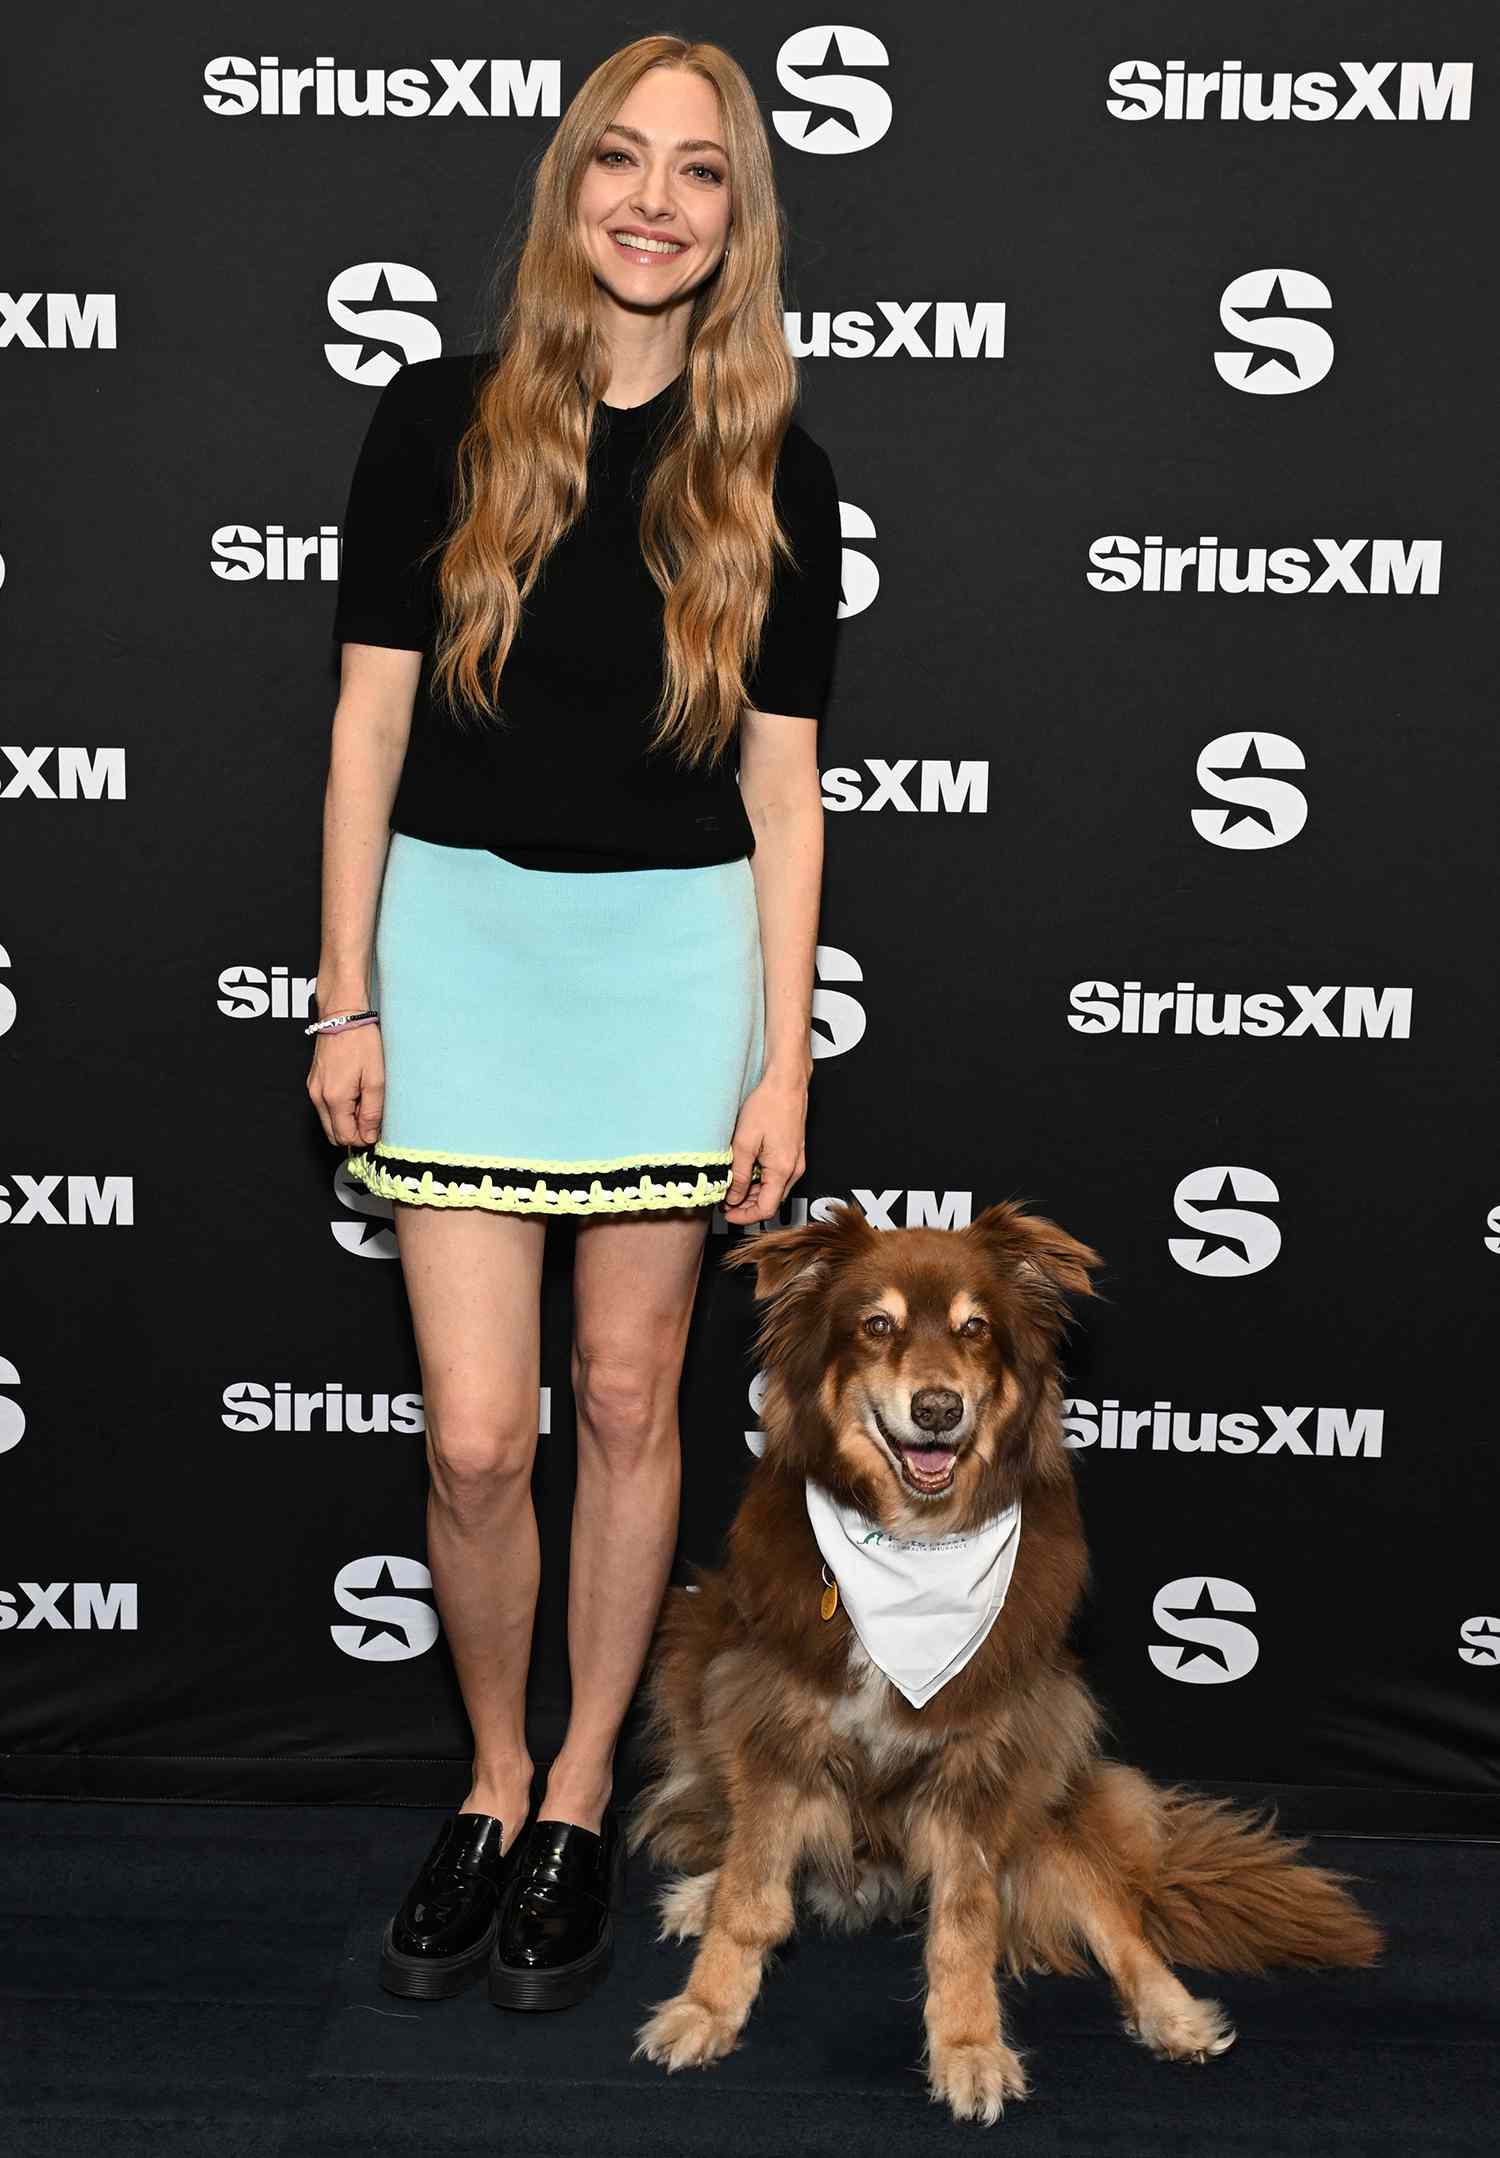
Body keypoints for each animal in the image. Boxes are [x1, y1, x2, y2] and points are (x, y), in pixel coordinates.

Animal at [625, 1199, 1381, 2123]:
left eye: (975, 1328)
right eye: (876, 1326)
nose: (937, 1409)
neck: (917, 1549)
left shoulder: (981, 1765)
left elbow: (965, 1926)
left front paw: (969, 2050)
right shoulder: (778, 1732)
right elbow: (753, 1896)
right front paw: (706, 2006)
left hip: (1049, 1786)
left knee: (1120, 1920)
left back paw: (1171, 2013)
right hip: (698, 1648)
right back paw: (704, 1890)